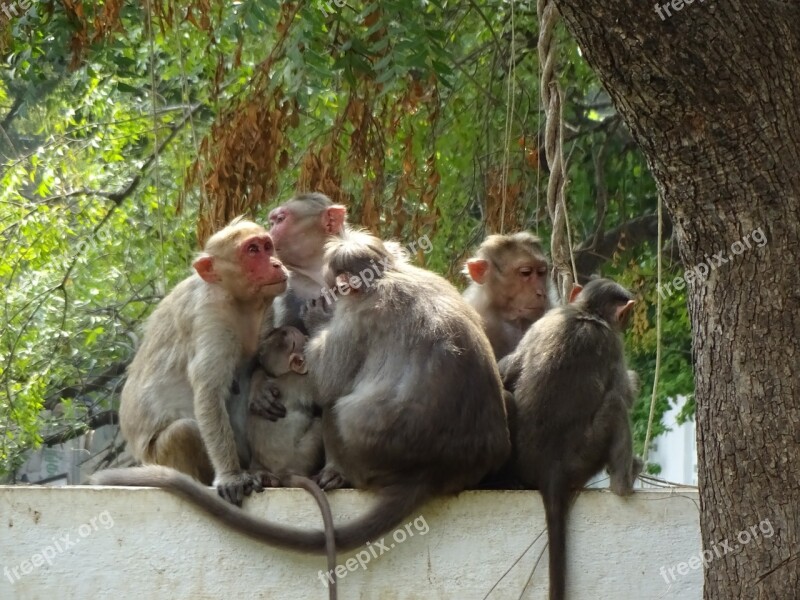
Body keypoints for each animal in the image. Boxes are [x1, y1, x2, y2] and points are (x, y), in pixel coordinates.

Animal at [112, 218, 288, 504]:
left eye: (267, 246)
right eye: (252, 251)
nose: (276, 263)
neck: (236, 299)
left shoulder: (265, 310)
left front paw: (260, 389)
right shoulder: (210, 316)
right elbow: (209, 393)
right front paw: (231, 476)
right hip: (157, 457)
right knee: (183, 431)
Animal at [250, 326, 324, 486]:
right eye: (300, 339)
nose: (308, 338)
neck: (286, 373)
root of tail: (284, 472)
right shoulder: (306, 382)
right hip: (304, 455)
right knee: (318, 424)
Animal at [500, 278, 644, 600]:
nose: (627, 321)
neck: (586, 312)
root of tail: (549, 470)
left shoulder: (542, 321)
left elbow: (510, 367)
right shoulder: (612, 344)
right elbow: (624, 391)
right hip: (585, 457)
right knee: (615, 404)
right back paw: (623, 485)